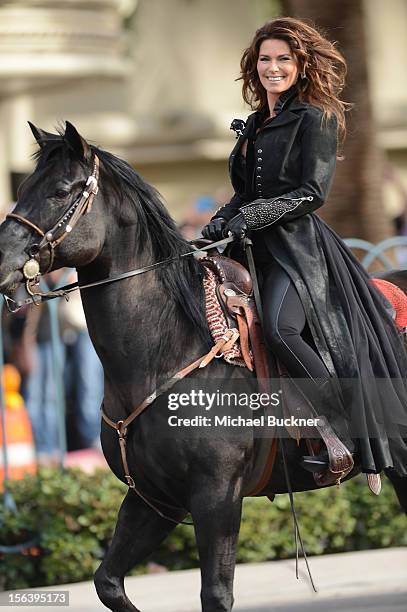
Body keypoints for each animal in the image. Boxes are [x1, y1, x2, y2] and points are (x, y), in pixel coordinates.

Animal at [0, 120, 406, 612]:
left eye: (61, 191)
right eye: (23, 189)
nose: (1, 263)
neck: (163, 352)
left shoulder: (217, 495)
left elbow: (215, 594)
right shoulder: (154, 499)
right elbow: (107, 582)